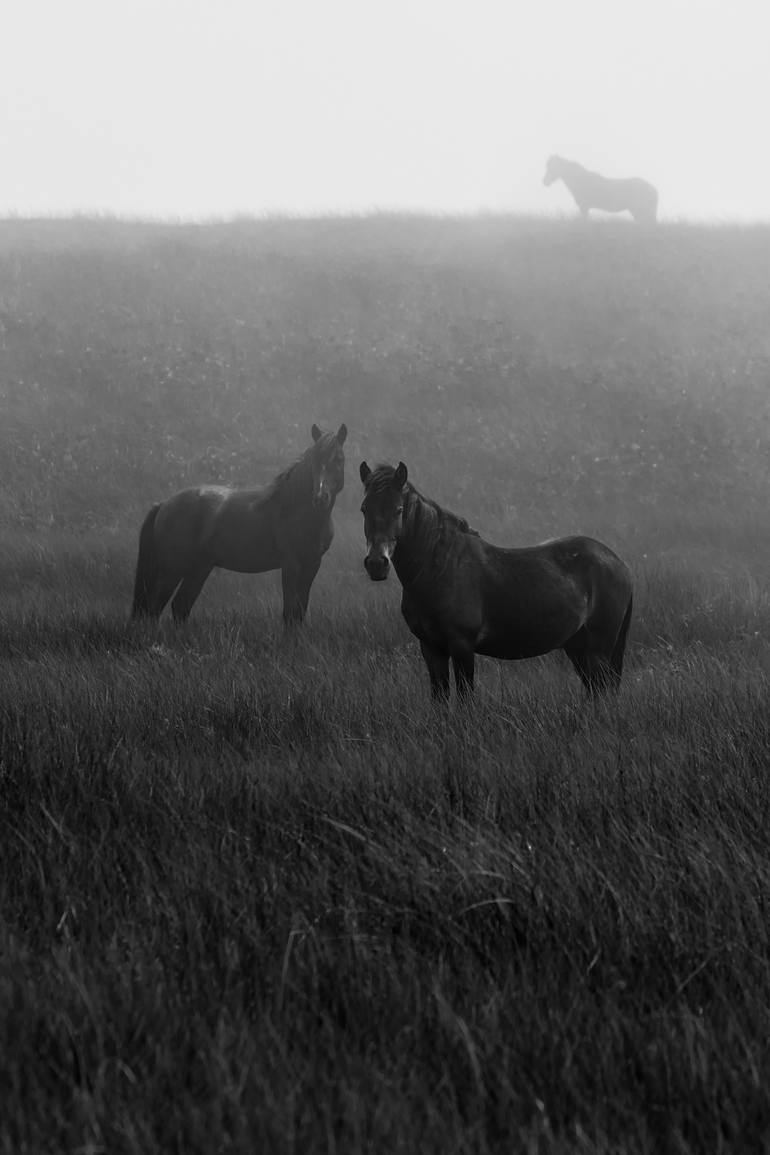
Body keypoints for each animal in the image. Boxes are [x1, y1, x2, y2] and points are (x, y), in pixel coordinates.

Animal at [133, 422, 348, 623]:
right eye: (314, 460)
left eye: (339, 459)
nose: (320, 498)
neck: (295, 509)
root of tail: (163, 504)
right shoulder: (291, 565)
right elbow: (289, 613)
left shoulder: (312, 565)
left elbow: (299, 612)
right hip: (172, 570)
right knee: (154, 609)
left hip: (199, 568)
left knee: (180, 606)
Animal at [362, 462, 632, 697]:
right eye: (364, 508)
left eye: (398, 509)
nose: (376, 564)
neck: (440, 568)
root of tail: (618, 563)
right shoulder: (431, 648)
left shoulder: (462, 646)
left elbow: (465, 699)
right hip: (577, 646)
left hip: (599, 649)